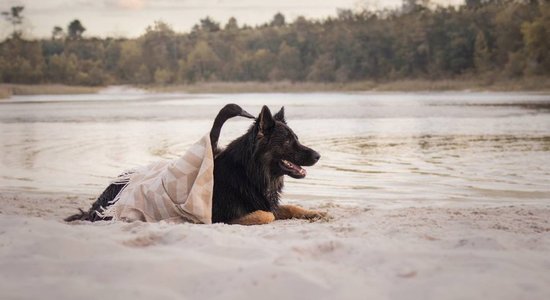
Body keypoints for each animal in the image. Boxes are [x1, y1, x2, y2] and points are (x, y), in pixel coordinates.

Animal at [68, 104, 328, 224]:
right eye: (288, 141)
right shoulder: (219, 216)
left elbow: (288, 208)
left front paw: (314, 212)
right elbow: (267, 215)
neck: (250, 173)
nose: (318, 155)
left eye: (296, 138)